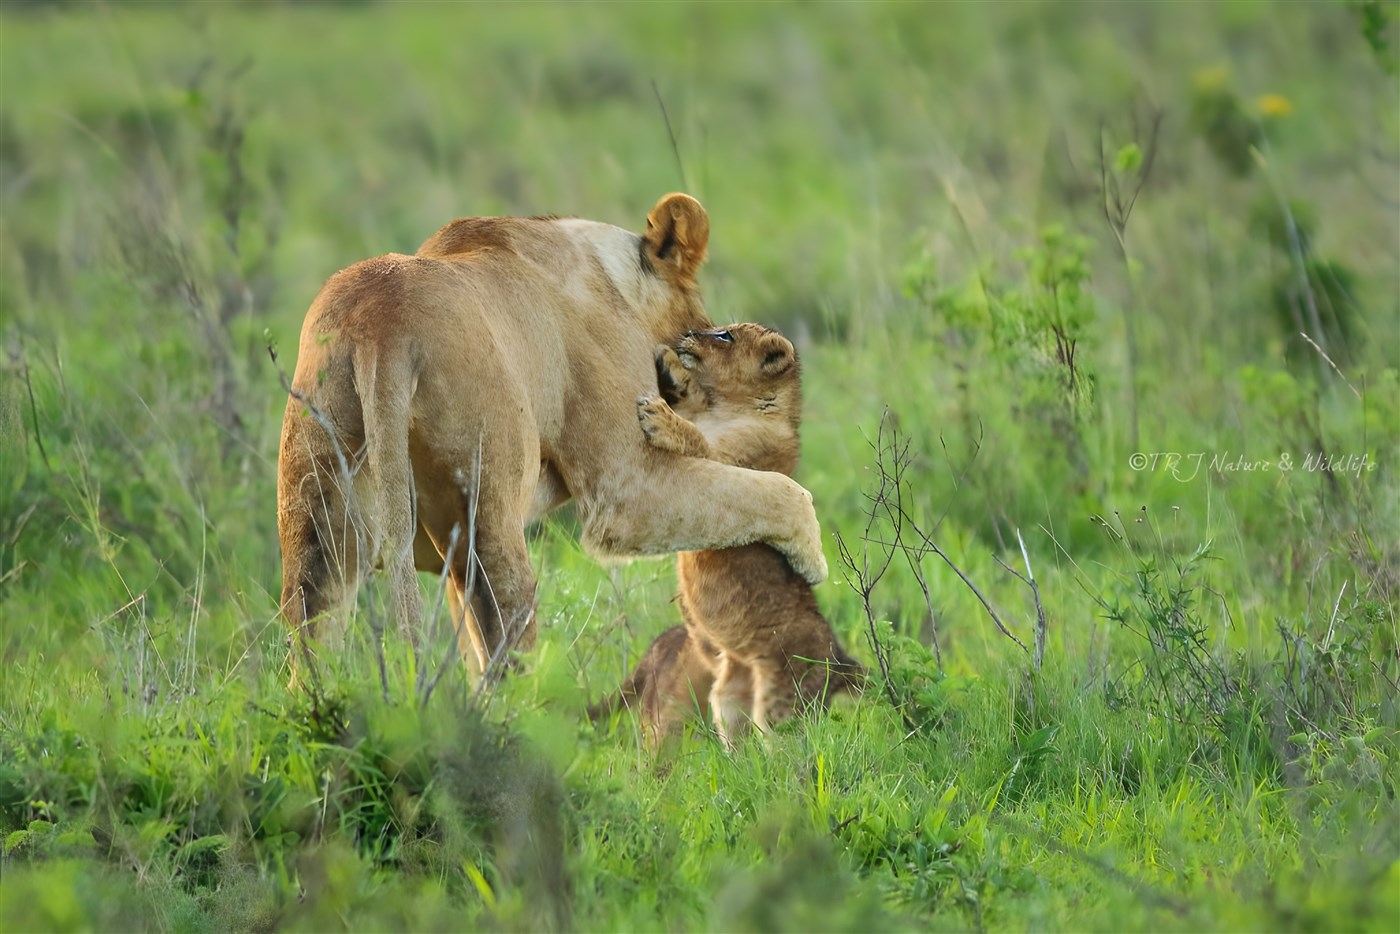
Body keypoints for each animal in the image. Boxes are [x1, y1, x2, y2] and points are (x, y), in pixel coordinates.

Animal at [277, 195, 827, 678]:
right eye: (717, 330)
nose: (692, 341)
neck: (612, 279)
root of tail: (380, 329)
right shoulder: (626, 492)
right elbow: (785, 491)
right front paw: (812, 563)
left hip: (316, 522)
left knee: (310, 648)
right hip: (489, 512)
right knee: (505, 655)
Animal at [592, 323, 863, 747]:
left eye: (725, 337)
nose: (687, 333)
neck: (728, 409)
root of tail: (837, 655)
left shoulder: (731, 467)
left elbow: (695, 438)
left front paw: (658, 415)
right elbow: (691, 408)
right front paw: (669, 363)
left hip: (782, 702)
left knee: (786, 747)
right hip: (729, 698)